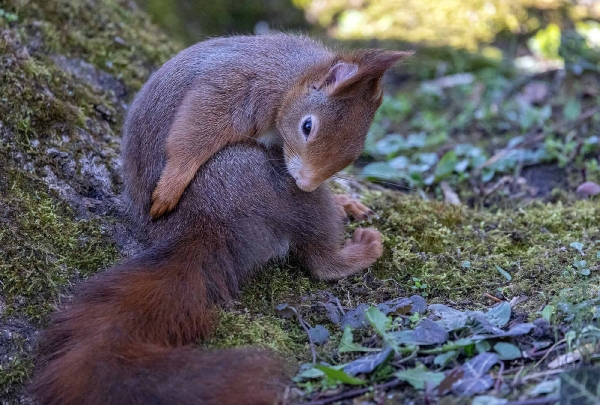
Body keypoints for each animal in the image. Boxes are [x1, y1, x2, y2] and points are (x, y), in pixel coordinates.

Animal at [131, 33, 410, 218]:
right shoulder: (237, 87)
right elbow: (194, 131)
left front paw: (342, 202)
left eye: (357, 152)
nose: (306, 184)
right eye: (307, 127)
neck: (291, 80)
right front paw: (169, 189)